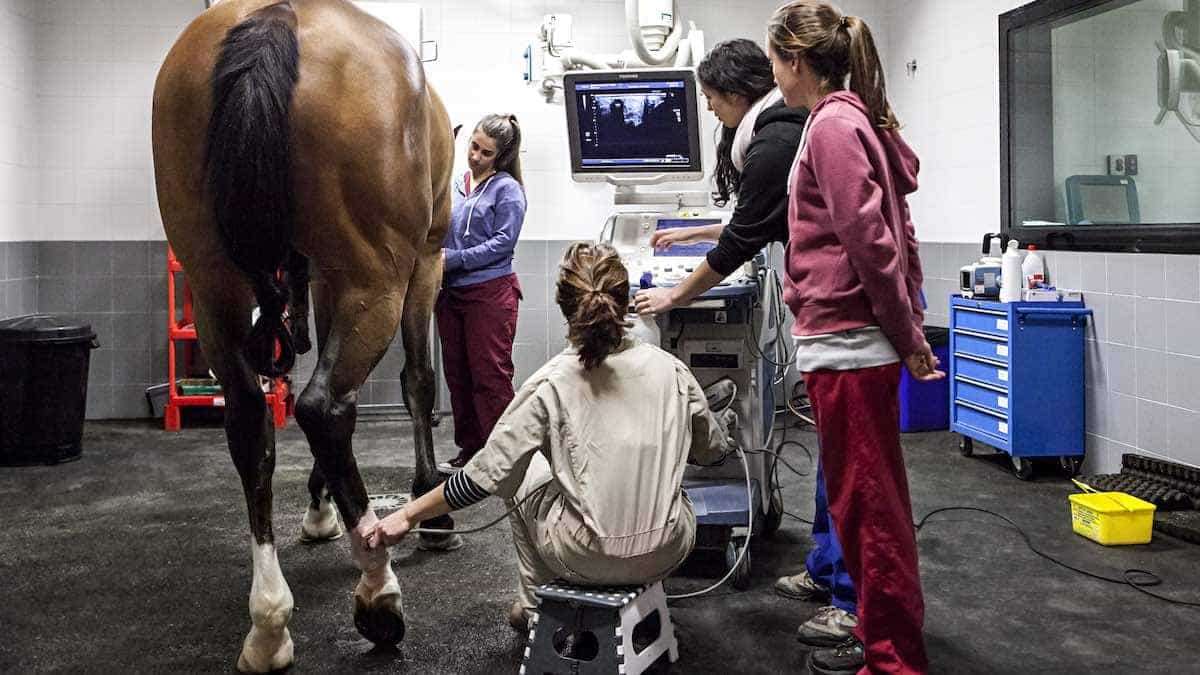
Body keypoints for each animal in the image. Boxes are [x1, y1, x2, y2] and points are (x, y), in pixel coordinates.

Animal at [150, 0, 451, 667]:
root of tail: (276, 17)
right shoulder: (424, 261)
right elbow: (418, 381)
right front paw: (430, 506)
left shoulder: (317, 274)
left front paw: (319, 507)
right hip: (378, 278)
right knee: (324, 406)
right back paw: (377, 588)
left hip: (214, 284)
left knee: (250, 420)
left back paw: (269, 623)